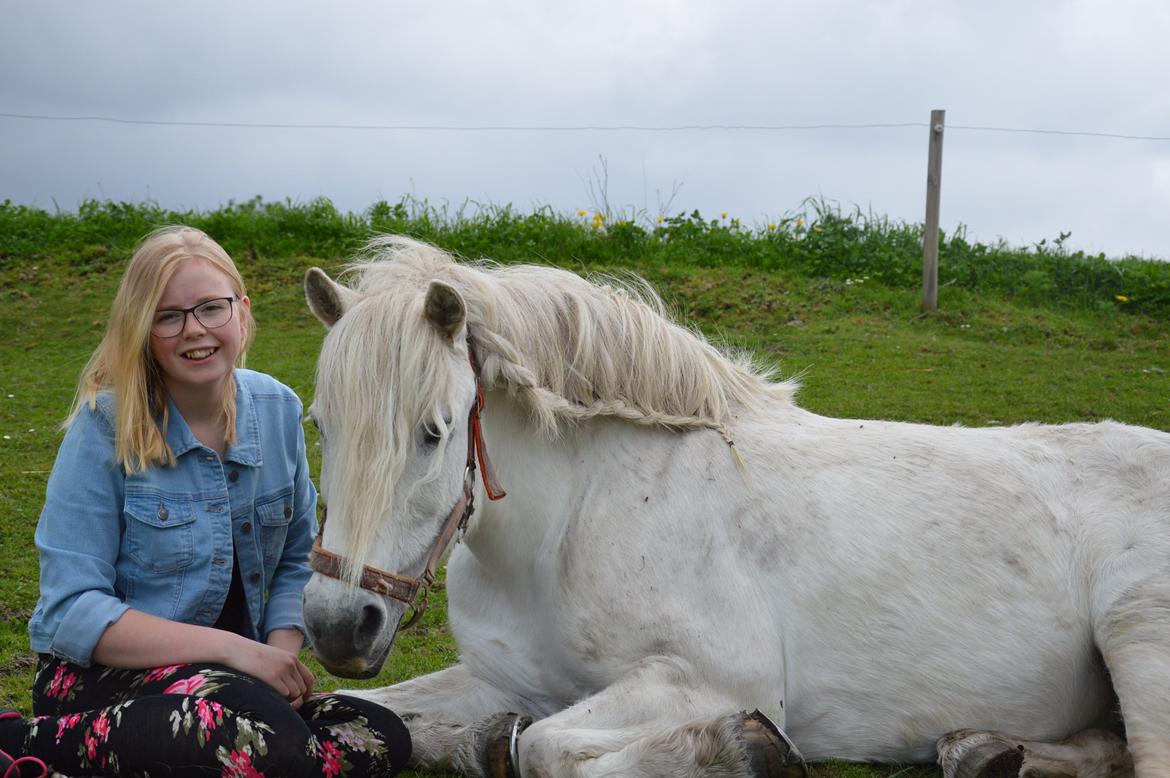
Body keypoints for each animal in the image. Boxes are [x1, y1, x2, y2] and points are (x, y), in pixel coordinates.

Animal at [299, 238, 1160, 776]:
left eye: (434, 431)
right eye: (320, 424)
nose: (339, 626)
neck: (576, 517)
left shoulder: (710, 680)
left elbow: (544, 748)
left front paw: (738, 751)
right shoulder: (502, 680)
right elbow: (360, 711)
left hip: (1138, 640)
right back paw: (981, 752)